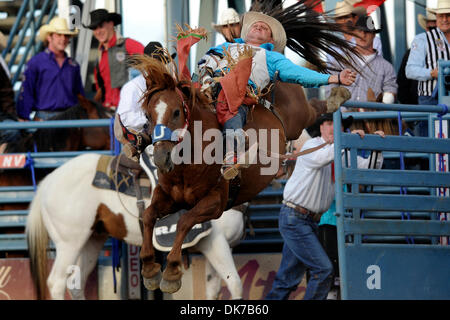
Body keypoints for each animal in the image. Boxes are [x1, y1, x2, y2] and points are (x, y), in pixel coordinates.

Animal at [25, 154, 243, 298]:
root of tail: (48, 182)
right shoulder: (216, 242)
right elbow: (235, 284)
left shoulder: (220, 246)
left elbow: (215, 289)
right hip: (69, 243)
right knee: (57, 283)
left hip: (92, 240)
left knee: (75, 284)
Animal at [134, 56, 344, 294]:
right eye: (148, 115)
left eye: (177, 112)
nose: (161, 157)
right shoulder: (169, 196)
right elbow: (149, 215)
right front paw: (150, 269)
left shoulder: (215, 203)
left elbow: (184, 221)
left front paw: (171, 272)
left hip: (300, 115)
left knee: (313, 105)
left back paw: (337, 96)